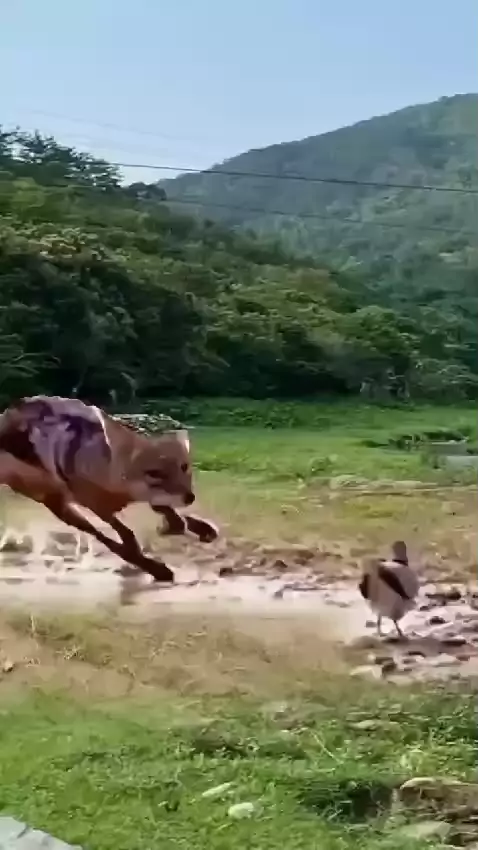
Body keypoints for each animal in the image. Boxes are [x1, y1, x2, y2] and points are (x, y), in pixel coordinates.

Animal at [0, 395, 218, 583]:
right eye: (154, 473)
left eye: (184, 467)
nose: (190, 497)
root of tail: (6, 414)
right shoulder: (96, 506)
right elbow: (126, 534)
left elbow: (169, 514)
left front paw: (184, 525)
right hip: (60, 506)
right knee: (107, 540)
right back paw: (153, 568)